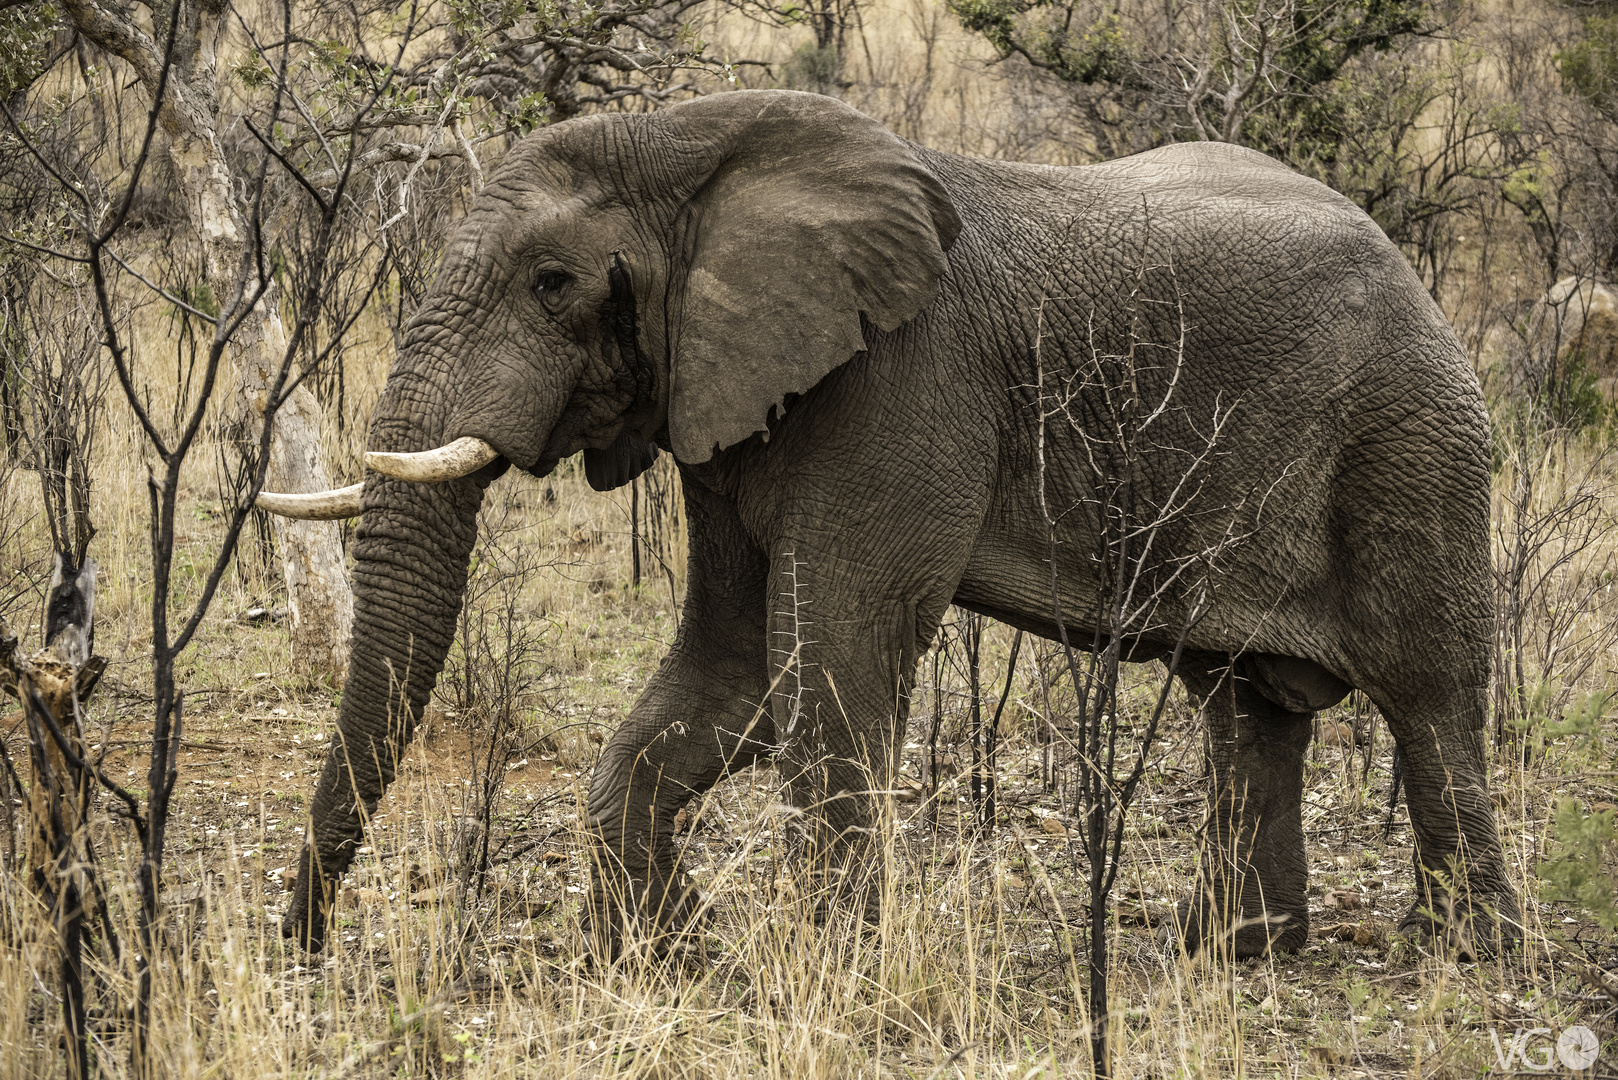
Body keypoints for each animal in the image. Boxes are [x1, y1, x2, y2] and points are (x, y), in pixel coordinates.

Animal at [260, 89, 1519, 959]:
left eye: (552, 284)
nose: (303, 952)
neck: (691, 141)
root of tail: (1419, 285)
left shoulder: (904, 381)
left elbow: (826, 661)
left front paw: (827, 974)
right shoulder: (726, 400)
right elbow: (730, 670)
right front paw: (673, 966)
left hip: (1410, 448)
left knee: (1429, 698)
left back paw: (1465, 957)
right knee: (1246, 706)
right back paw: (1232, 955)